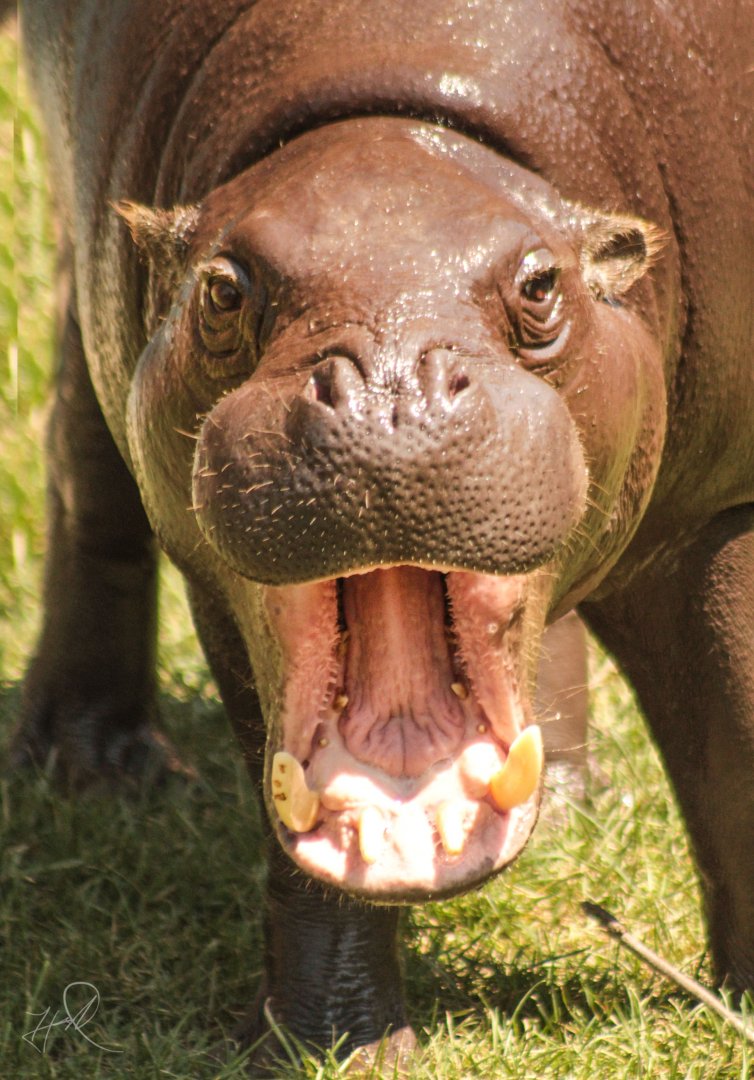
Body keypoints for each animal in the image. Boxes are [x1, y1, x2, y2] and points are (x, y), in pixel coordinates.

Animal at [15, 0, 754, 1067]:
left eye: (541, 285)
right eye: (222, 291)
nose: (390, 391)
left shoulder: (720, 506)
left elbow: (735, 733)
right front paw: (333, 1053)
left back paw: (575, 798)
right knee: (83, 460)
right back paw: (94, 770)